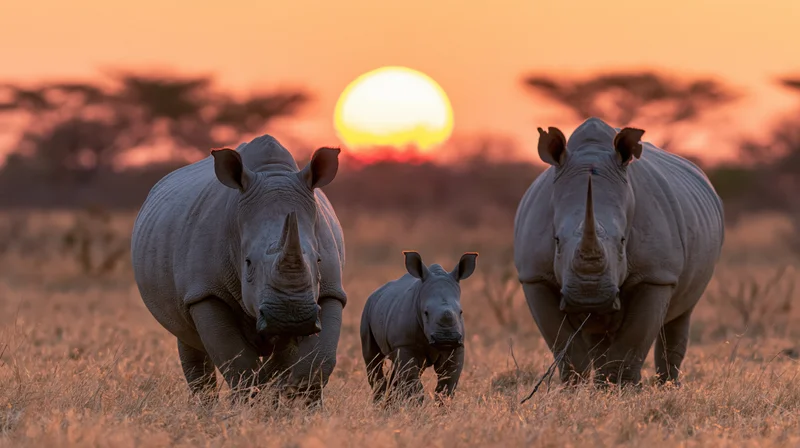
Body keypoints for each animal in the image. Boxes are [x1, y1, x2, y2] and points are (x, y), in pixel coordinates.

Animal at [131, 134, 347, 403]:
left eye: (318, 260)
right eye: (248, 263)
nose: (291, 317)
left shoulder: (331, 289)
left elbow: (320, 358)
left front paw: (293, 402)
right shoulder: (205, 292)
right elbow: (237, 362)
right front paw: (250, 405)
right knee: (188, 339)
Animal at [360, 251, 478, 403]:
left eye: (461, 312)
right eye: (426, 313)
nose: (446, 338)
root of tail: (376, 292)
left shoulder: (457, 347)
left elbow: (447, 384)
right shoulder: (405, 344)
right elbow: (413, 383)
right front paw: (415, 405)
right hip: (367, 309)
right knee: (373, 358)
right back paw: (380, 403)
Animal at [514, 117, 724, 387]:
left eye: (623, 241)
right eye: (557, 241)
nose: (589, 297)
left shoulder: (656, 275)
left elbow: (634, 339)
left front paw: (620, 389)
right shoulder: (534, 276)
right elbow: (564, 345)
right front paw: (573, 389)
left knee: (681, 314)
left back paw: (668, 387)